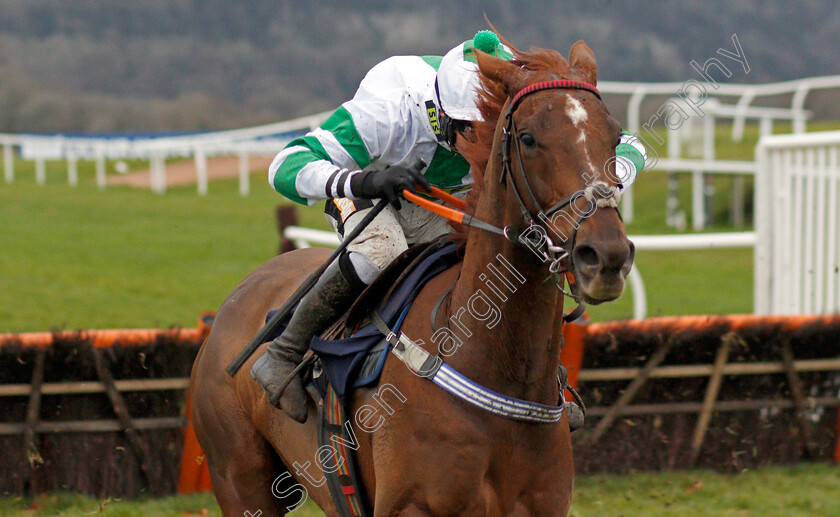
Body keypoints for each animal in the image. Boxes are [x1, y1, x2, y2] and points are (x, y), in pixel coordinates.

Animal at [190, 38, 632, 512]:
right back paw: (277, 368)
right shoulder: (413, 505)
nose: (604, 255)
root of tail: (233, 303)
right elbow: (301, 153)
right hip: (241, 481)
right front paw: (387, 180)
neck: (498, 367)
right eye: (529, 139)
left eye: (615, 136)